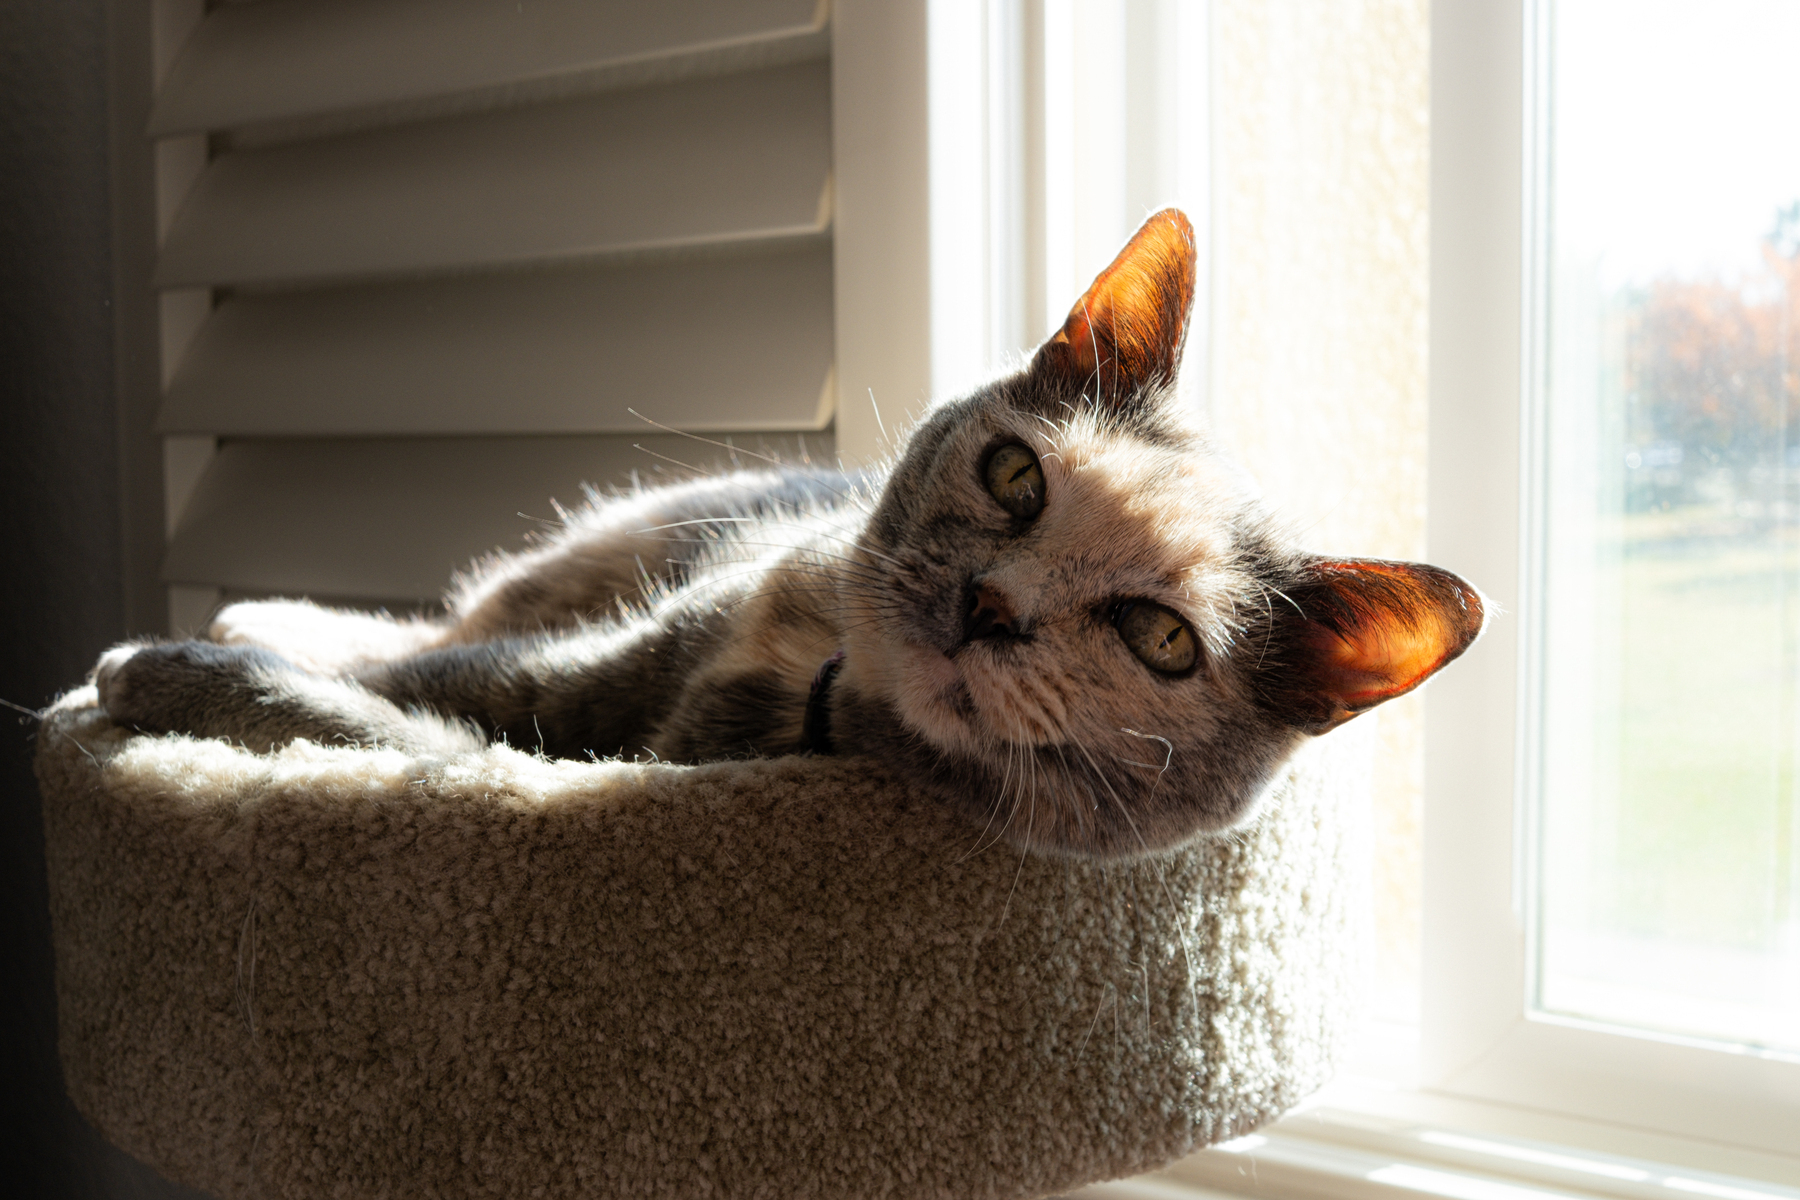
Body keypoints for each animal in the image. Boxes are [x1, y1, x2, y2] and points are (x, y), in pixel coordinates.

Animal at [91, 211, 1483, 859]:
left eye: (1161, 639)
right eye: (1018, 476)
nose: (991, 604)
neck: (802, 681)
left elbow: (391, 731)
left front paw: (150, 675)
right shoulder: (625, 647)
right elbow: (430, 674)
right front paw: (176, 659)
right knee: (467, 611)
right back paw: (261, 609)